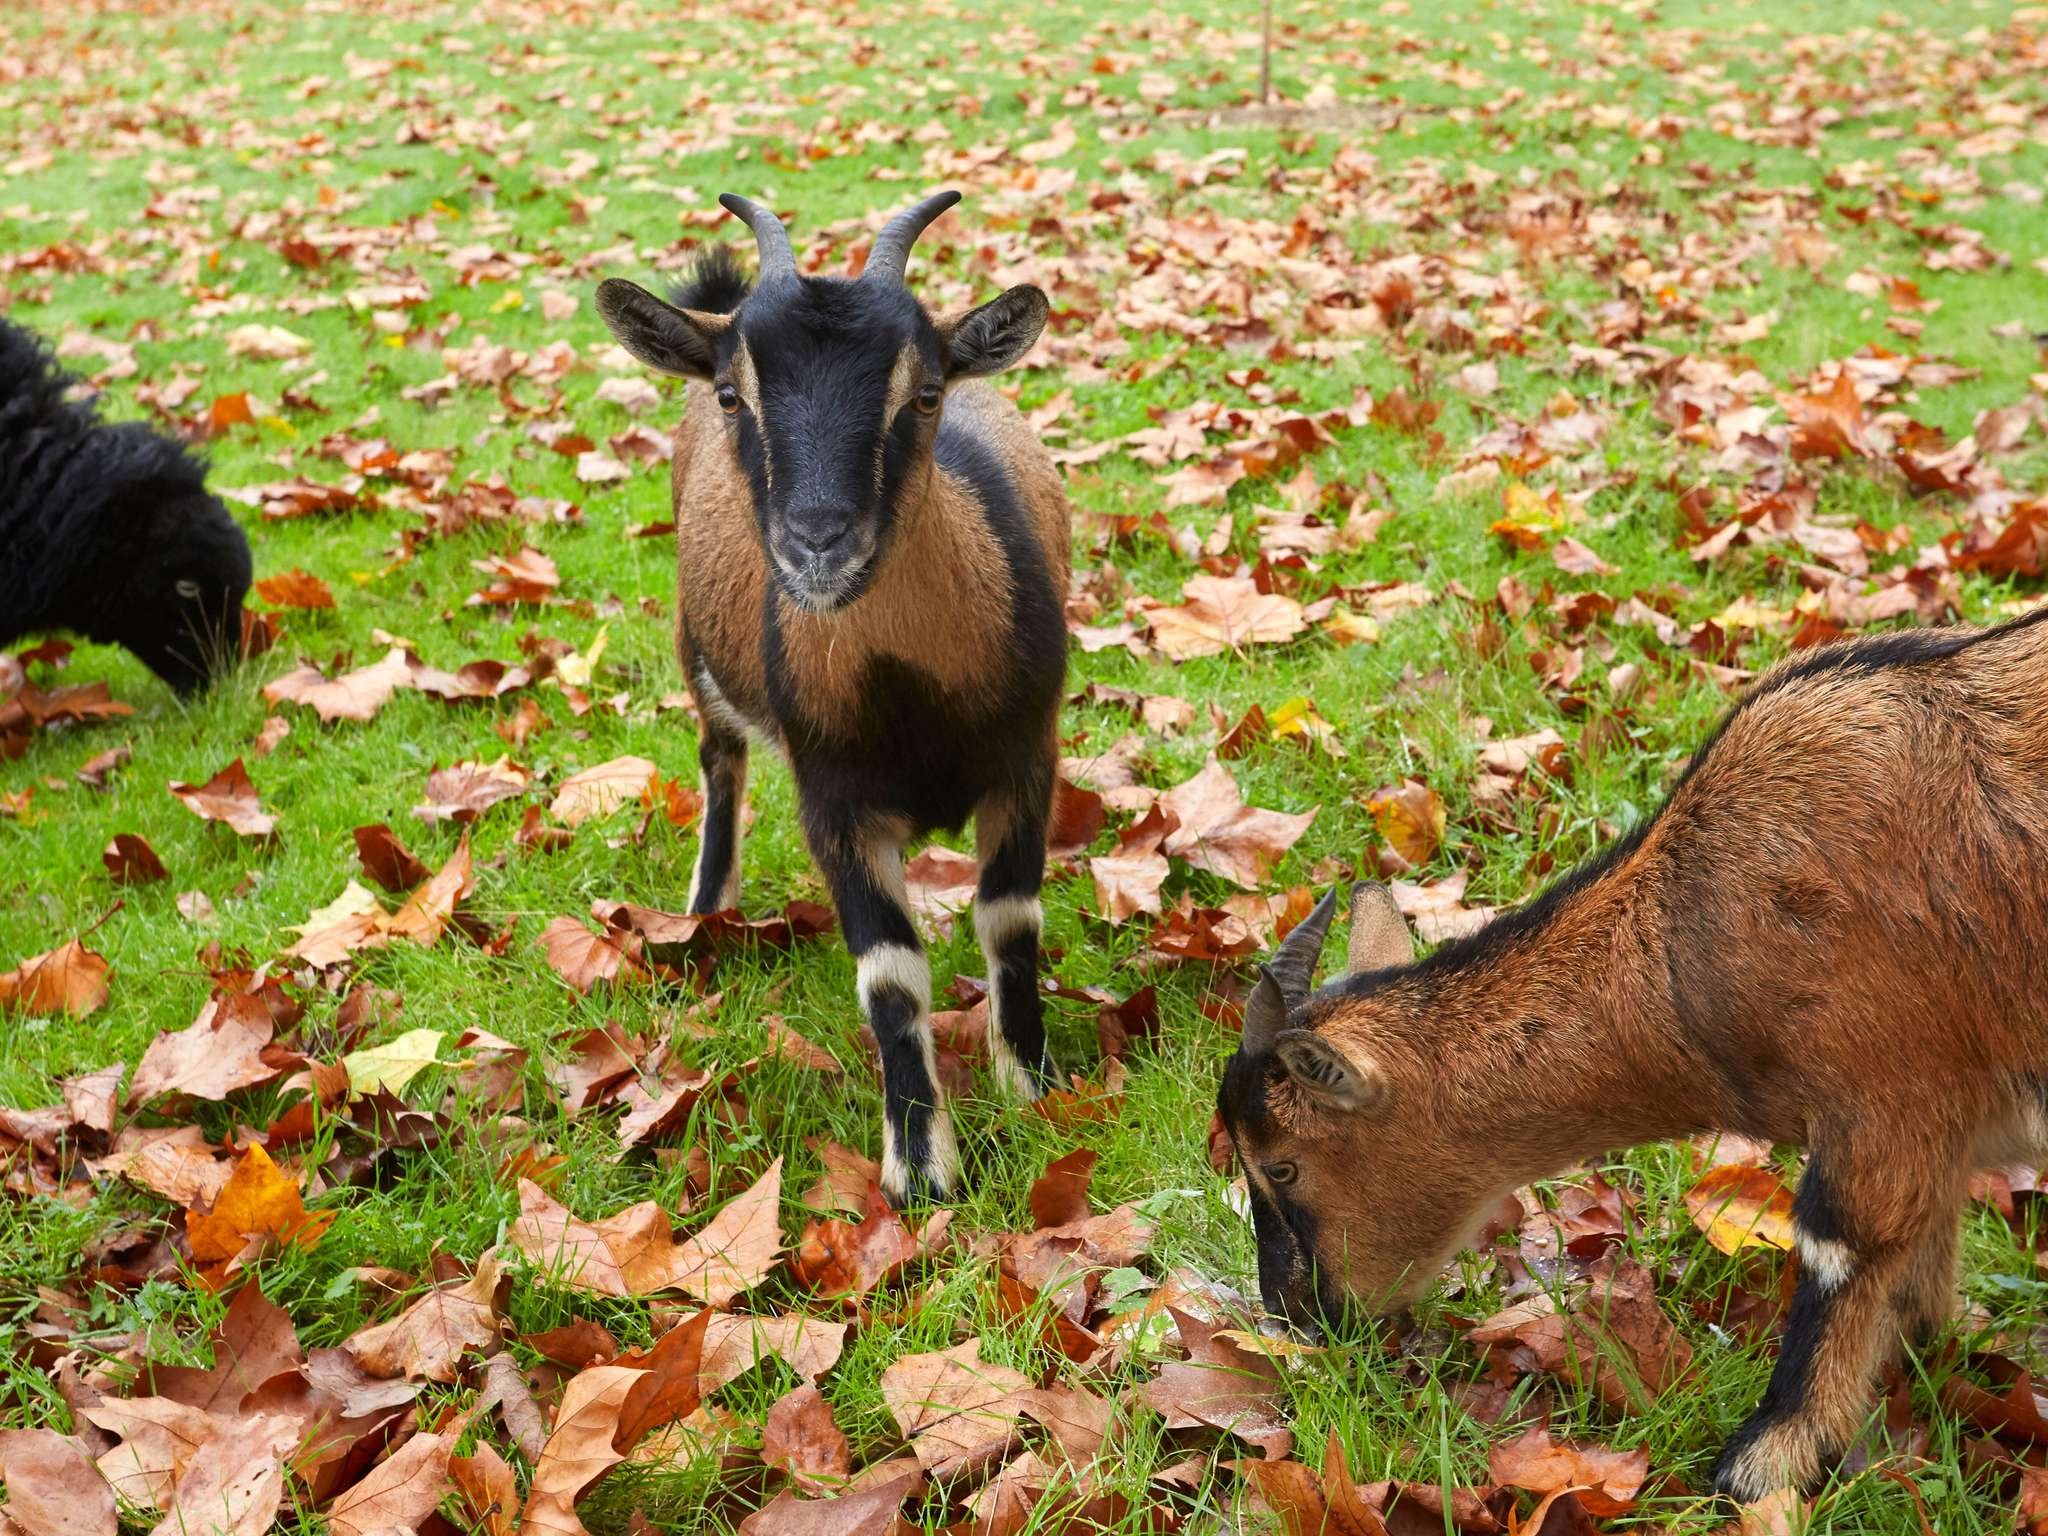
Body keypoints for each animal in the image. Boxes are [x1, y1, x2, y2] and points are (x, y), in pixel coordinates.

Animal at [598, 192, 1064, 1212]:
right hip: (696, 653)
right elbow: (890, 979)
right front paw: (920, 1169)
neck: (908, 697)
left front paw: (1038, 1085)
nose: (818, 542)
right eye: (735, 395)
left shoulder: (1028, 760)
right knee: (719, 762)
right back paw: (707, 909)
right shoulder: (834, 802)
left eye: (924, 393)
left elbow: (1011, 923)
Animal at [1212, 606, 2048, 1507]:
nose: (1294, 1320)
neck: (1687, 939)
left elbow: (1842, 1250)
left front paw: (1763, 1464)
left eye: (1282, 1165)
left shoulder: (1886, 1090)